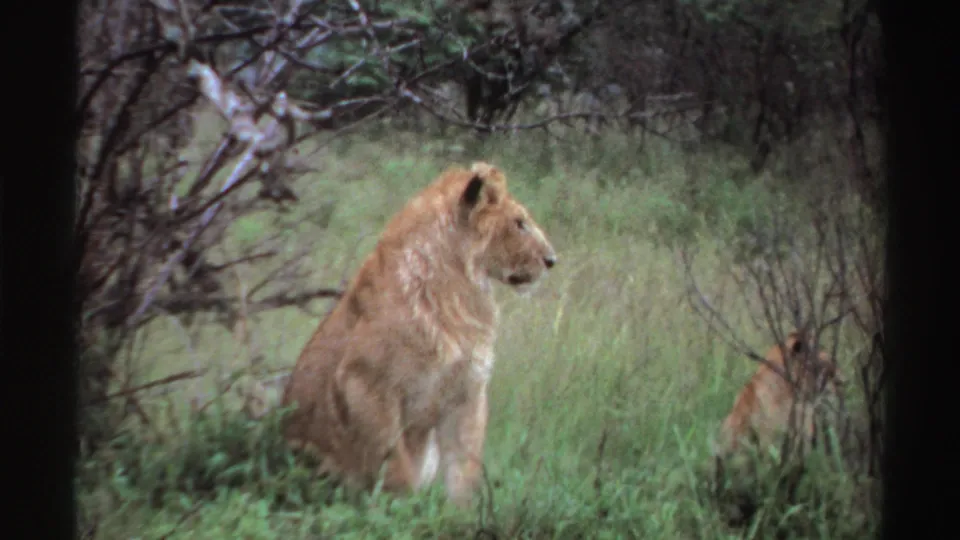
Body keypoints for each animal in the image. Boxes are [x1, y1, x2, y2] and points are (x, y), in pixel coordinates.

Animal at [280, 161, 557, 507]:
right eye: (519, 223)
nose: (552, 260)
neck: (459, 291)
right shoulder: (364, 384)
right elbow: (395, 467)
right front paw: (403, 511)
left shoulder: (468, 392)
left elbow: (465, 469)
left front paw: (460, 515)